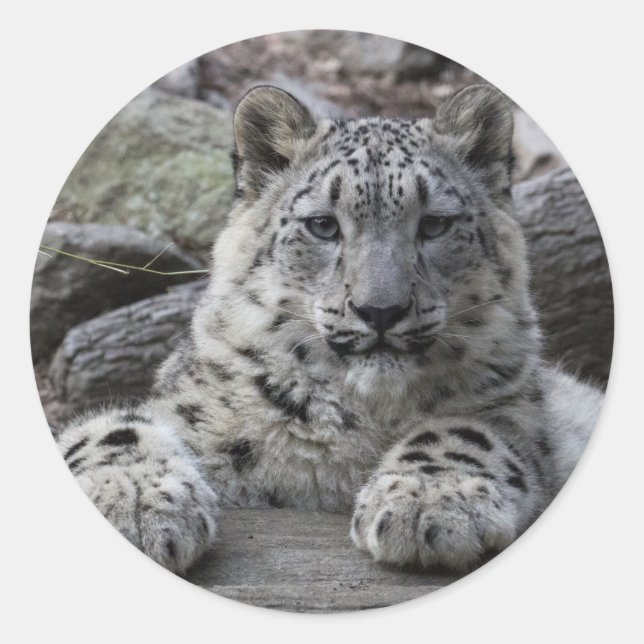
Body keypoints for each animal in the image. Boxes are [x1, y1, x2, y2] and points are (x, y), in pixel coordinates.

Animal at [56, 84, 603, 576]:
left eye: (434, 224)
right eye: (322, 225)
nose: (380, 309)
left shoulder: (520, 412)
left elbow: (469, 429)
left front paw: (431, 500)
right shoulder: (185, 408)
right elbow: (112, 429)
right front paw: (137, 504)